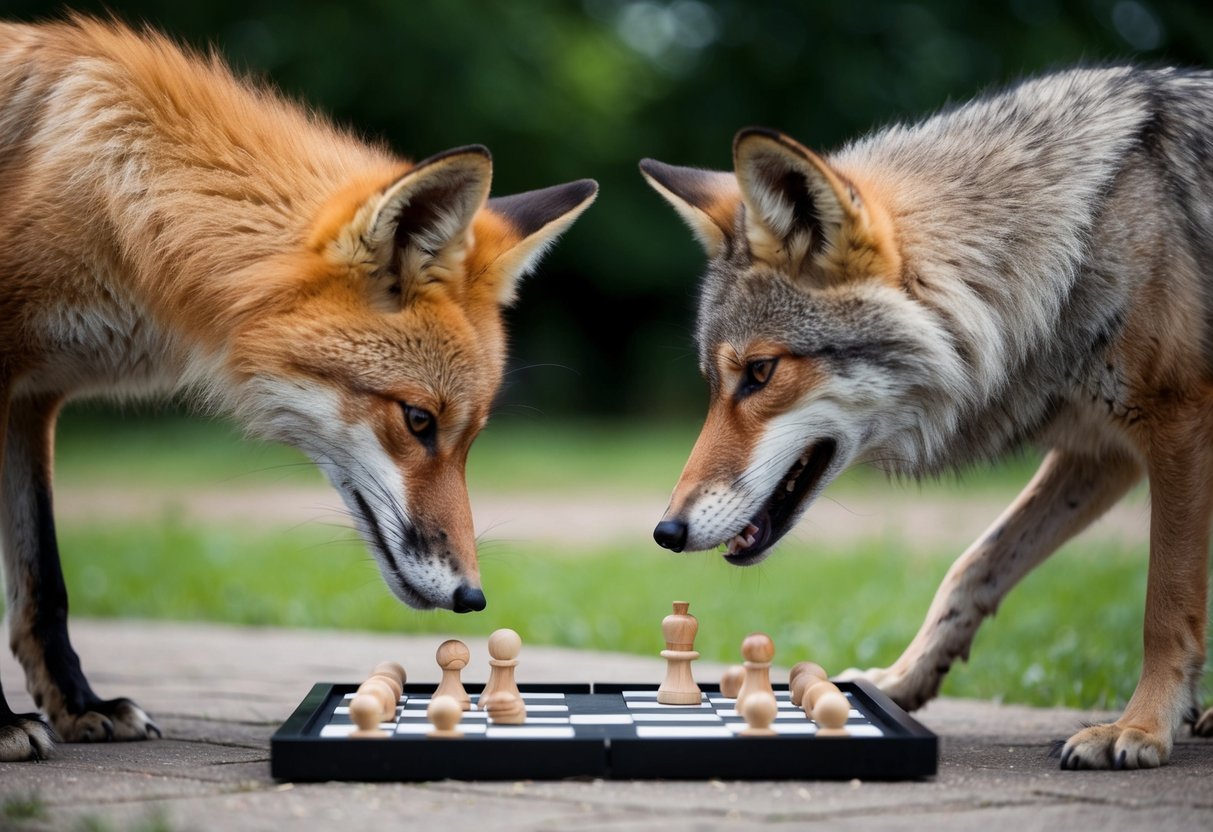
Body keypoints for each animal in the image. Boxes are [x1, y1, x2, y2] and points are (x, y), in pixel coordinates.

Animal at [0, 17, 596, 762]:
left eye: (470, 439)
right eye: (418, 420)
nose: (471, 599)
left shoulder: (33, 399)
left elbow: (42, 582)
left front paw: (77, 705)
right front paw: (2, 721)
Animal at [641, 65, 1213, 770]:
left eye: (760, 373)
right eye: (714, 383)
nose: (666, 531)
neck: (1072, 244)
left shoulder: (1177, 426)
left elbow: (1165, 603)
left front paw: (1141, 726)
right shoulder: (1101, 455)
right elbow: (973, 566)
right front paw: (899, 681)